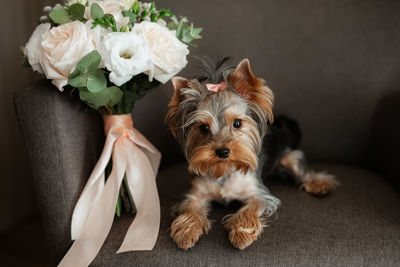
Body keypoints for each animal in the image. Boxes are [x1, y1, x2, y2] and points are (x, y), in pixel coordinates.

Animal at [164, 58, 340, 251]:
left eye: (237, 123)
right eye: (203, 128)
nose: (223, 151)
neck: (225, 169)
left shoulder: (259, 193)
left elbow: (251, 208)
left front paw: (241, 234)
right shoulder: (196, 194)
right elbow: (190, 207)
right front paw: (186, 232)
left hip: (289, 158)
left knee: (304, 172)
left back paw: (320, 184)